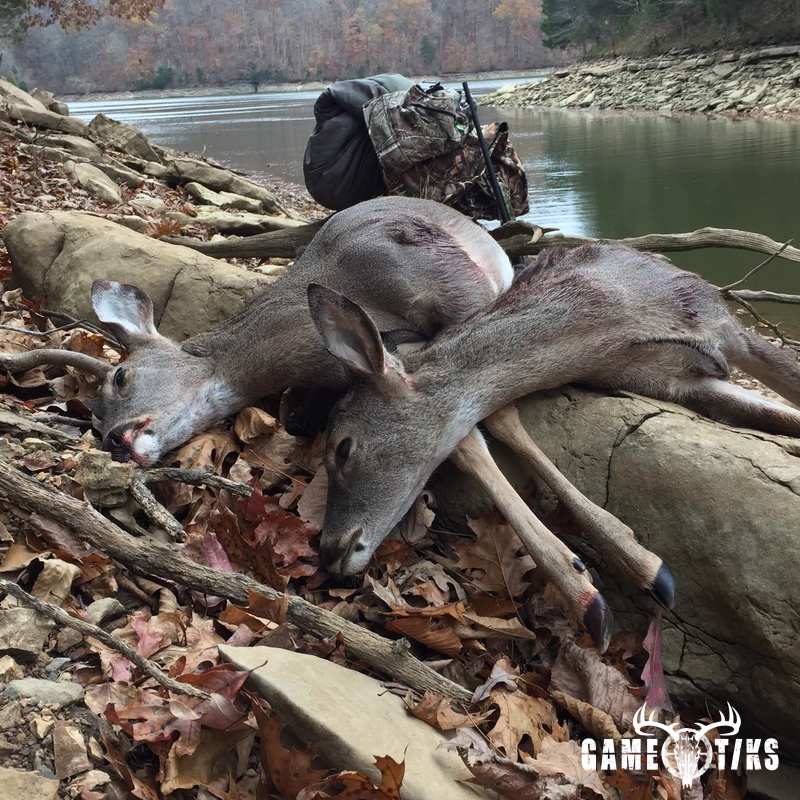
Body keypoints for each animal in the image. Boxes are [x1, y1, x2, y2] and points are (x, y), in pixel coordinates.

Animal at [2, 196, 677, 648]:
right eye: (92, 418)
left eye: (118, 378)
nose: (116, 440)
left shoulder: (455, 287)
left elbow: (484, 416)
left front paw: (603, 580)